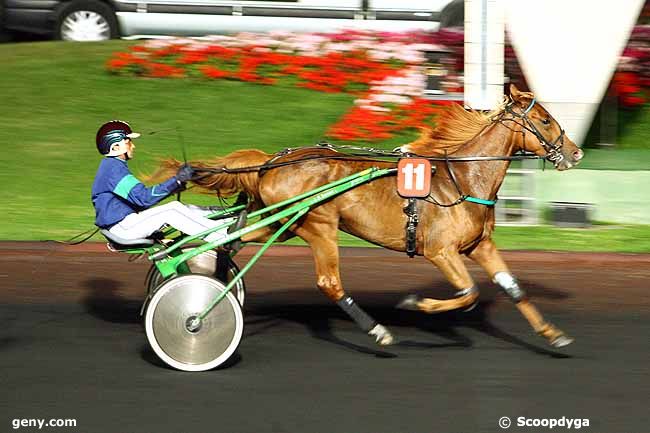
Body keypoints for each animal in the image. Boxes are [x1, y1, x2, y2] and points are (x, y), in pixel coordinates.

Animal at [156, 84, 584, 348]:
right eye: (544, 119)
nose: (576, 153)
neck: (463, 179)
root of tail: (273, 161)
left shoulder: (480, 246)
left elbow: (513, 289)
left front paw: (552, 334)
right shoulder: (440, 251)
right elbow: (469, 293)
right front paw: (416, 304)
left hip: (279, 222)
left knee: (227, 240)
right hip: (318, 225)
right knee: (329, 282)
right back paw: (378, 331)